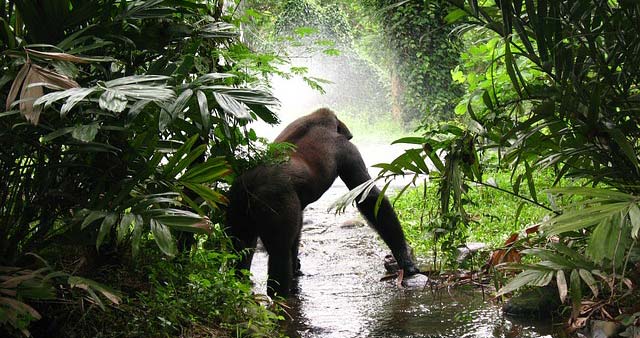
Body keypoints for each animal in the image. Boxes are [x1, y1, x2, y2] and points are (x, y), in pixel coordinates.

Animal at [225, 107, 420, 296]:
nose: (350, 135)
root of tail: (250, 184)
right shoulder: (347, 149)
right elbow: (369, 198)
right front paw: (405, 259)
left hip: (235, 201)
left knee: (241, 247)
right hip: (272, 199)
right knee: (279, 253)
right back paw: (280, 296)